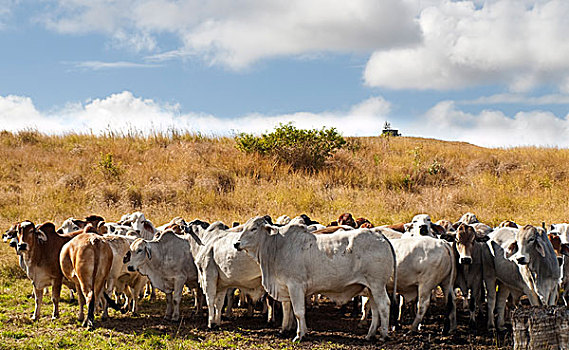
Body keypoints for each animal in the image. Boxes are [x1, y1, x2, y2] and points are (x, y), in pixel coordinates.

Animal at [234, 216, 394, 342]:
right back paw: (370, 334)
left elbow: (298, 312)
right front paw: (288, 330)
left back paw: (383, 335)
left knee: (384, 305)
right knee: (375, 309)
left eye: (254, 228)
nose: (236, 243)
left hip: (377, 285)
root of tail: (379, 235)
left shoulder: (296, 286)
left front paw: (299, 335)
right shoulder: (285, 287)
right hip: (370, 288)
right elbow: (288, 310)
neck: (278, 247)